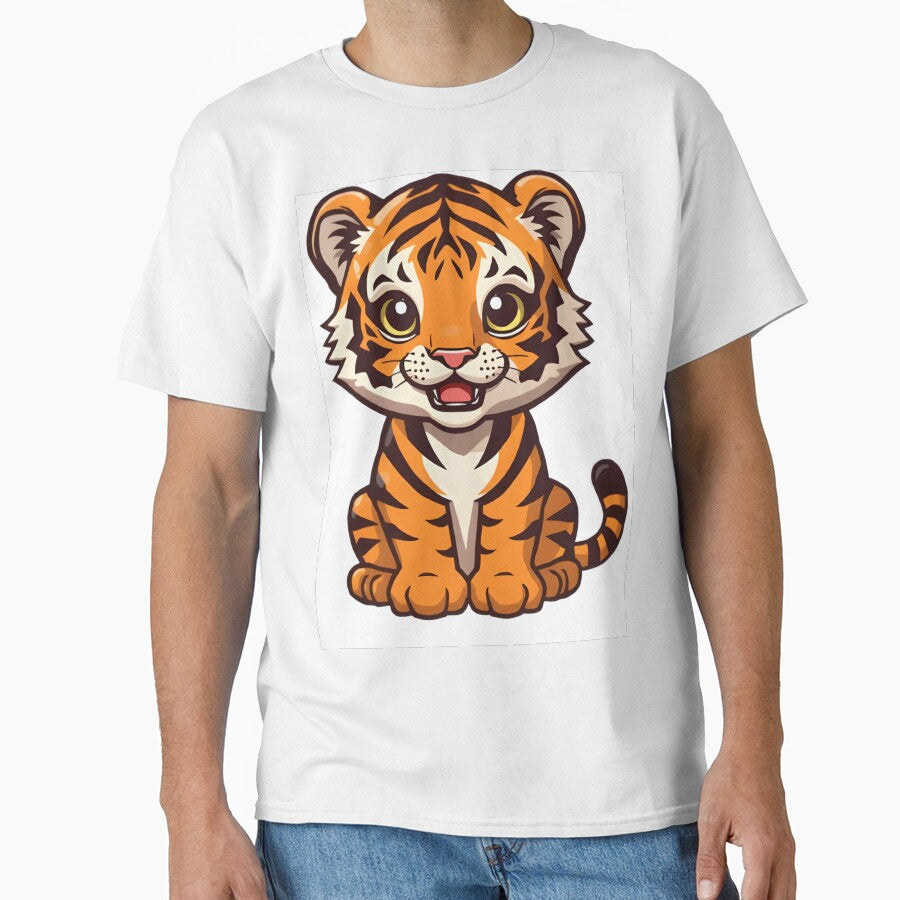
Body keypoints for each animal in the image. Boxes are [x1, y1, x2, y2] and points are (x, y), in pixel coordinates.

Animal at [307, 171, 627, 619]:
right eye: (398, 313)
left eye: (503, 307)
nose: (454, 355)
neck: (460, 439)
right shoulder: (404, 492)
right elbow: (419, 530)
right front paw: (427, 590)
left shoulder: (519, 487)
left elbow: (510, 530)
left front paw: (507, 589)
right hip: (361, 505)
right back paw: (373, 579)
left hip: (560, 496)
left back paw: (557, 573)